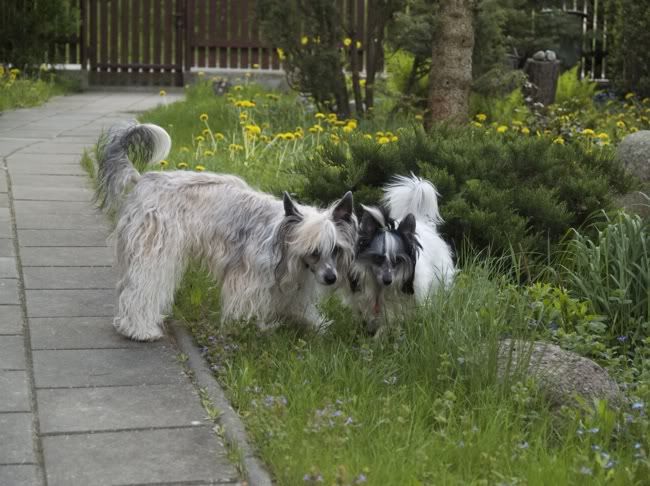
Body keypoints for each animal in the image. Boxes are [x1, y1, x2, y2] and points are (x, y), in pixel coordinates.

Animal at [96, 122, 357, 341]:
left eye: (336, 249)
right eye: (314, 251)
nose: (331, 278)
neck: (280, 237)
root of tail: (142, 180)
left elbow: (297, 307)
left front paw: (315, 326)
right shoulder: (248, 278)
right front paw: (253, 329)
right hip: (154, 252)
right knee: (141, 290)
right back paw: (139, 329)